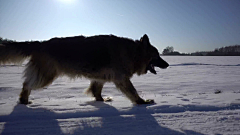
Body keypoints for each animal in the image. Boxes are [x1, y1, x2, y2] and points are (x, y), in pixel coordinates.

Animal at [0, 34, 169, 104]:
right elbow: (133, 92)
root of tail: (41, 43)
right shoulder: (122, 79)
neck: (134, 52)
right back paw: (23, 100)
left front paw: (101, 101)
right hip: (46, 75)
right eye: (157, 56)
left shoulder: (100, 78)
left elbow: (96, 90)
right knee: (26, 84)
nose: (167, 65)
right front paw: (141, 102)